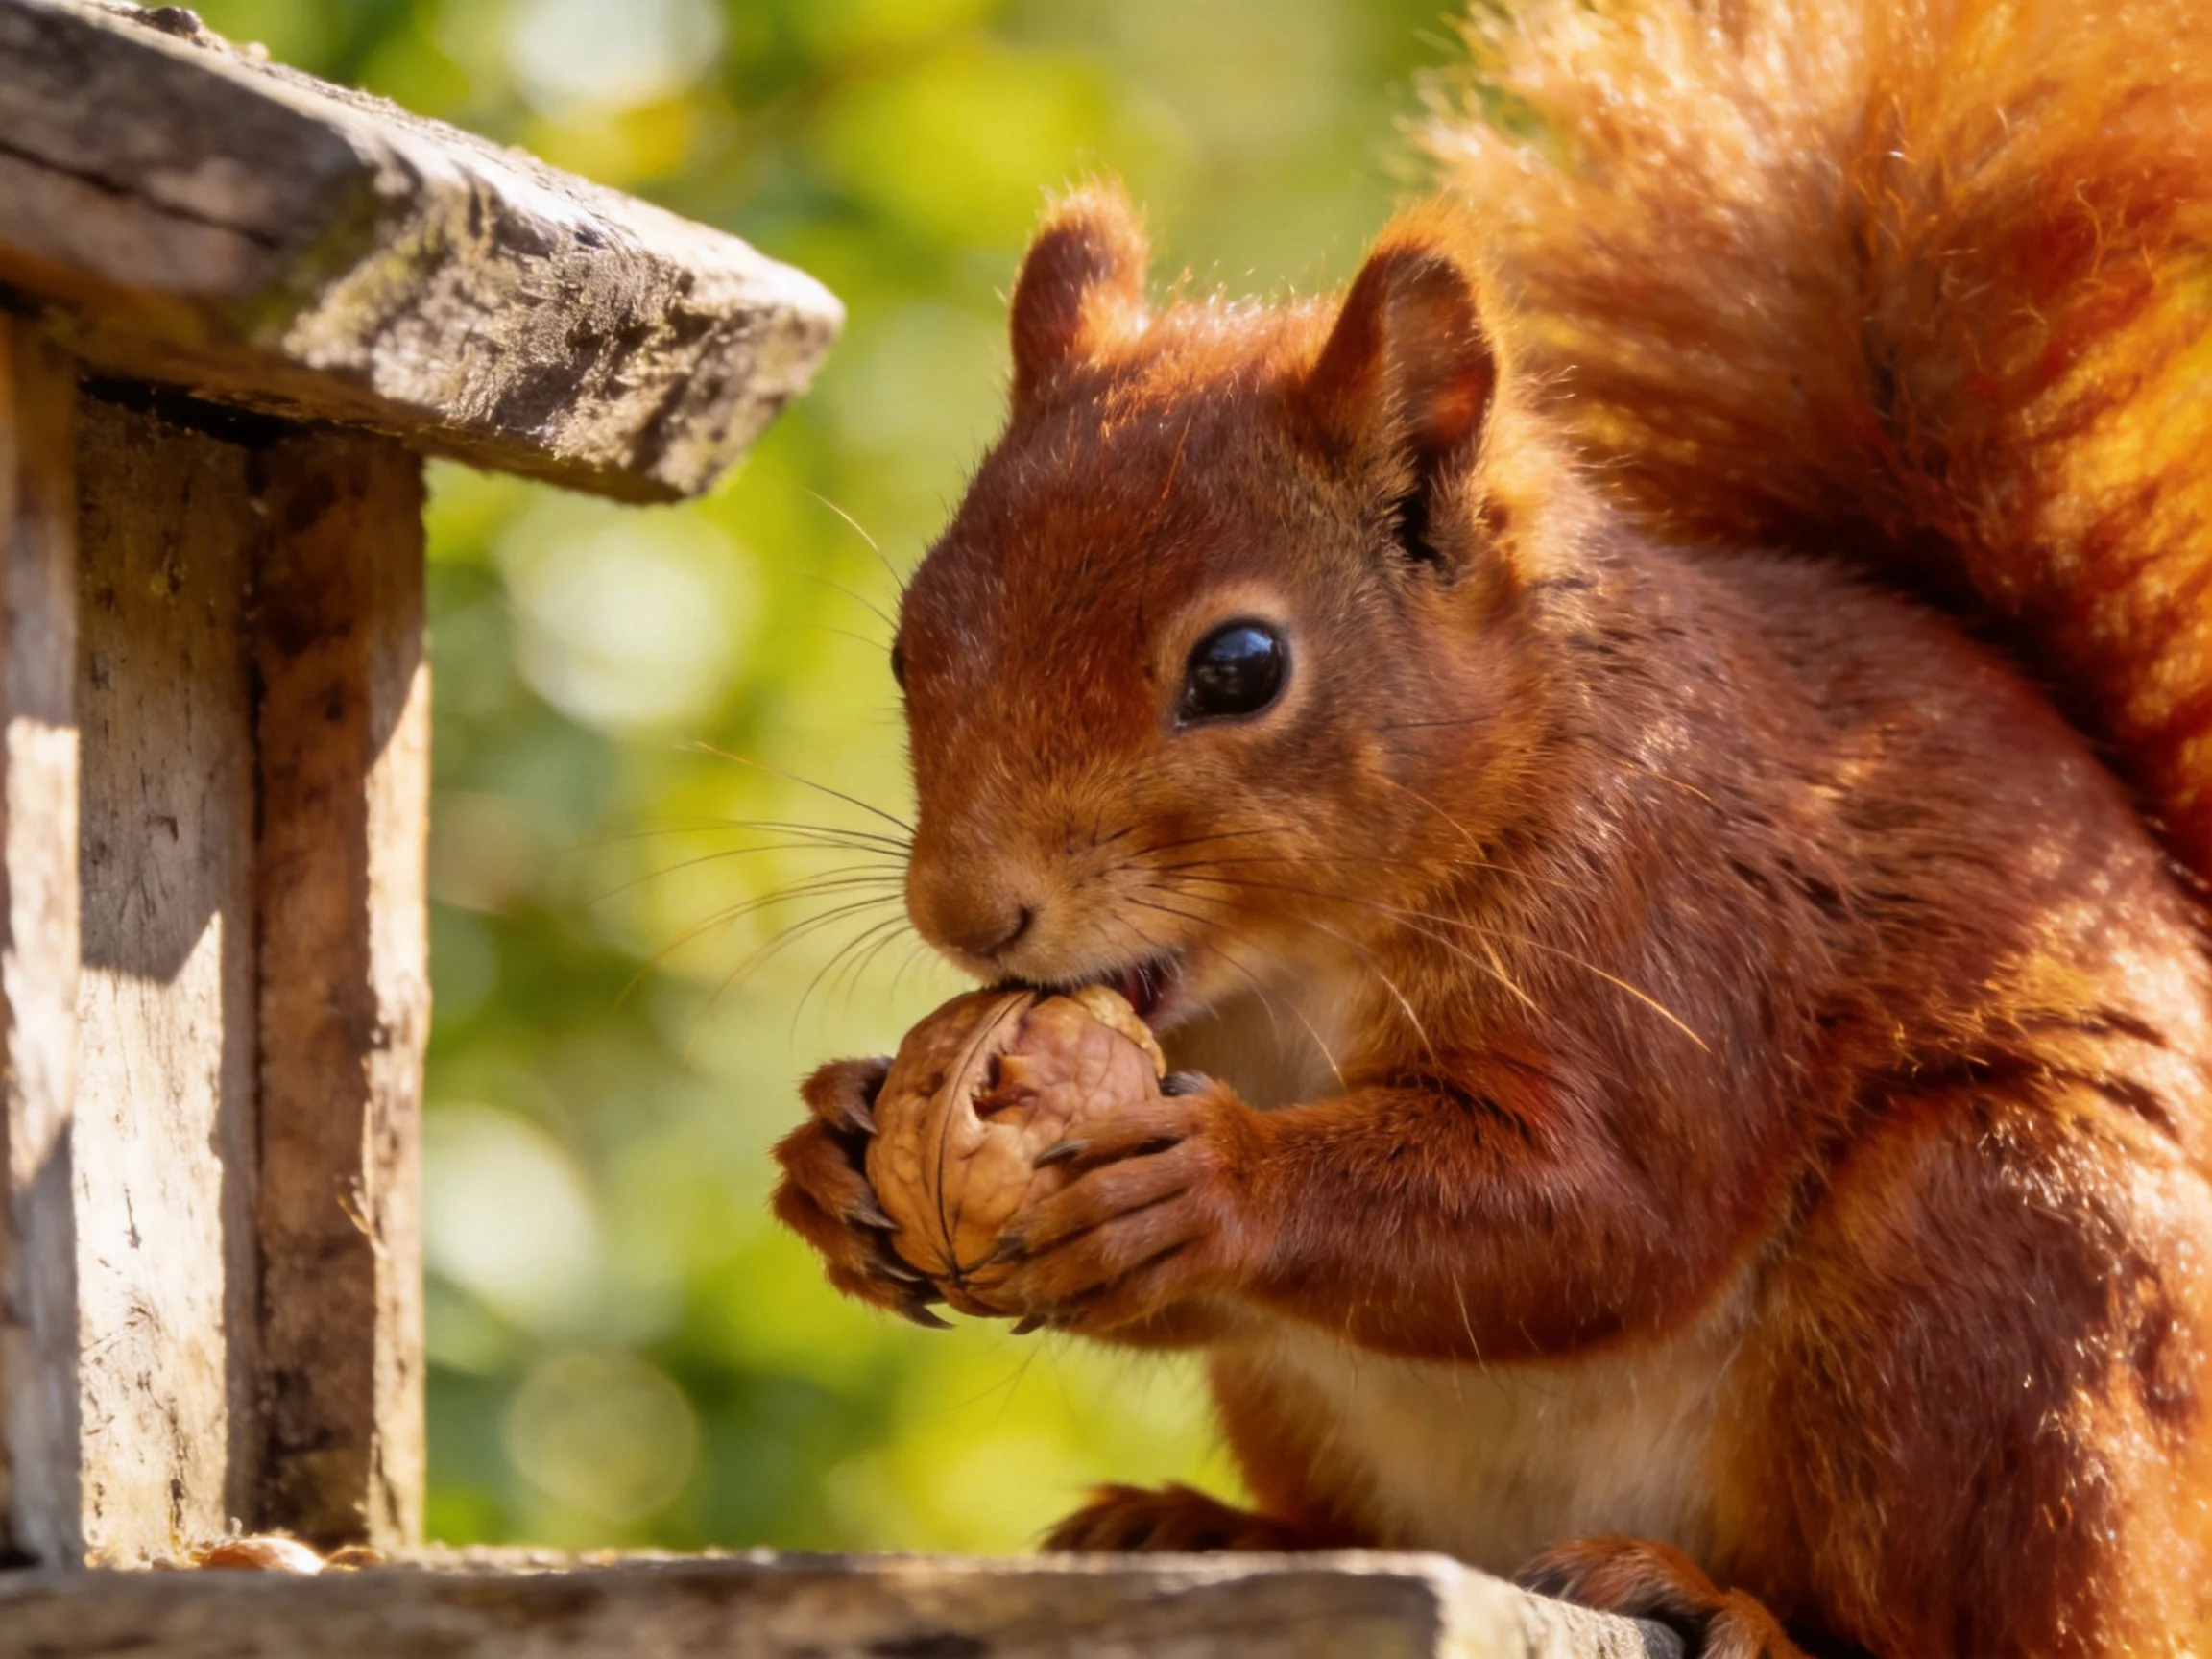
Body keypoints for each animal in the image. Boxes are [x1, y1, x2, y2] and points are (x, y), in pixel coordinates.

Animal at [771, 0, 2212, 1652]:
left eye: (1239, 667)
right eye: (907, 645)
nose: (966, 913)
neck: (1295, 974)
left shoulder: (1677, 924)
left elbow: (1603, 1212)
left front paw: (1215, 1182)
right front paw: (830, 1150)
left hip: (2000, 1262)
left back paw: (1729, 1601)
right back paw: (1200, 1525)